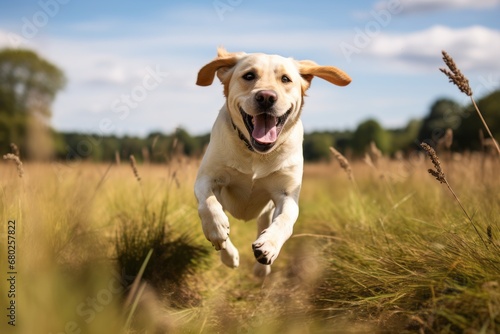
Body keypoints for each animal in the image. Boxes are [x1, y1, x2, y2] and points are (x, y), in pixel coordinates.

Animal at [193, 47, 350, 276]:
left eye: (285, 79)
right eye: (249, 75)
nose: (266, 97)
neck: (255, 153)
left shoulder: (287, 194)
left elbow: (285, 220)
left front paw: (269, 246)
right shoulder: (207, 178)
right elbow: (207, 202)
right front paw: (216, 229)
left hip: (266, 210)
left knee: (264, 224)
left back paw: (261, 268)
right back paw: (229, 254)